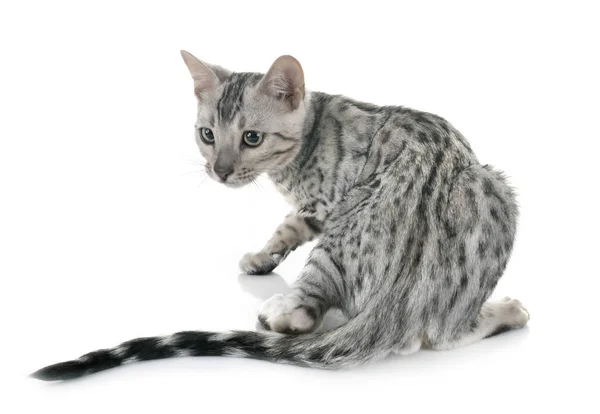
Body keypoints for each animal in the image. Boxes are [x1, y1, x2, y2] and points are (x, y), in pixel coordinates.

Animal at [31, 50, 528, 380]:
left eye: (252, 137)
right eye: (207, 134)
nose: (220, 170)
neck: (313, 133)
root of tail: (396, 302)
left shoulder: (327, 201)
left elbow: (290, 224)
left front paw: (262, 256)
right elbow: (288, 226)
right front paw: (261, 256)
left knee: (363, 323)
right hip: (493, 192)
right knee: (442, 330)